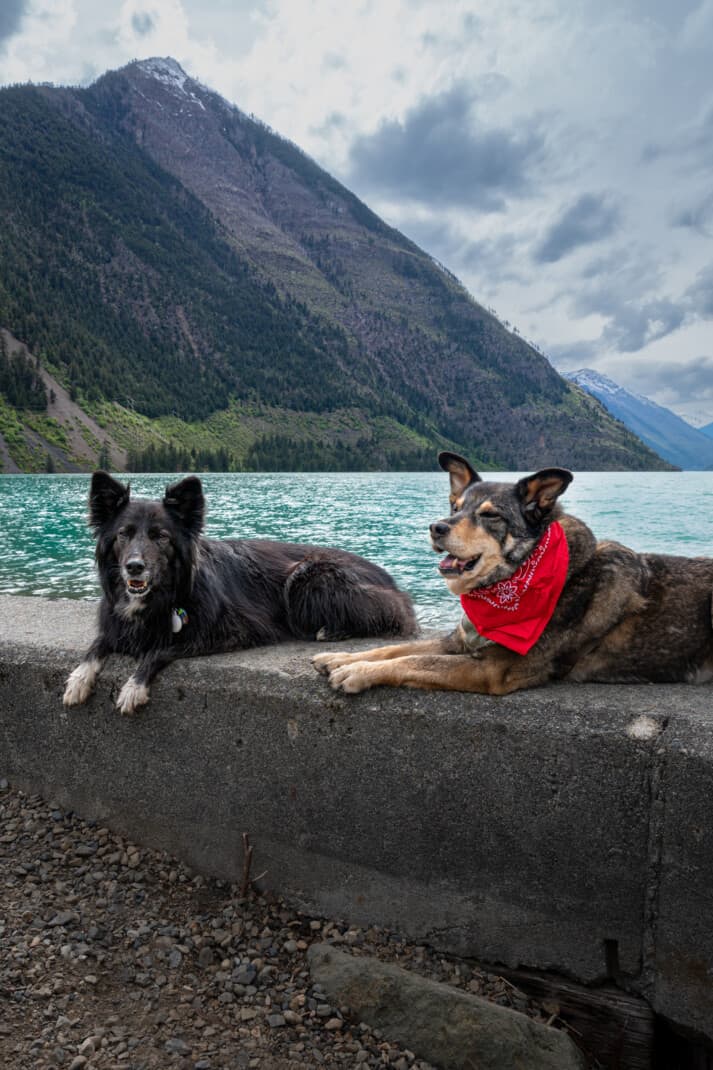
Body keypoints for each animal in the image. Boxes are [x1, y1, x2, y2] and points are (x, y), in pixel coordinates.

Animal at [64, 472, 417, 714]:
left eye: (161, 536)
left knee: (385, 614)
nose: (134, 567)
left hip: (307, 579)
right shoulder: (115, 624)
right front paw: (78, 679)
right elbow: (97, 645)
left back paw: (331, 630)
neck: (164, 595)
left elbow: (159, 649)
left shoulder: (225, 631)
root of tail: (389, 579)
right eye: (123, 534)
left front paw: (133, 688)